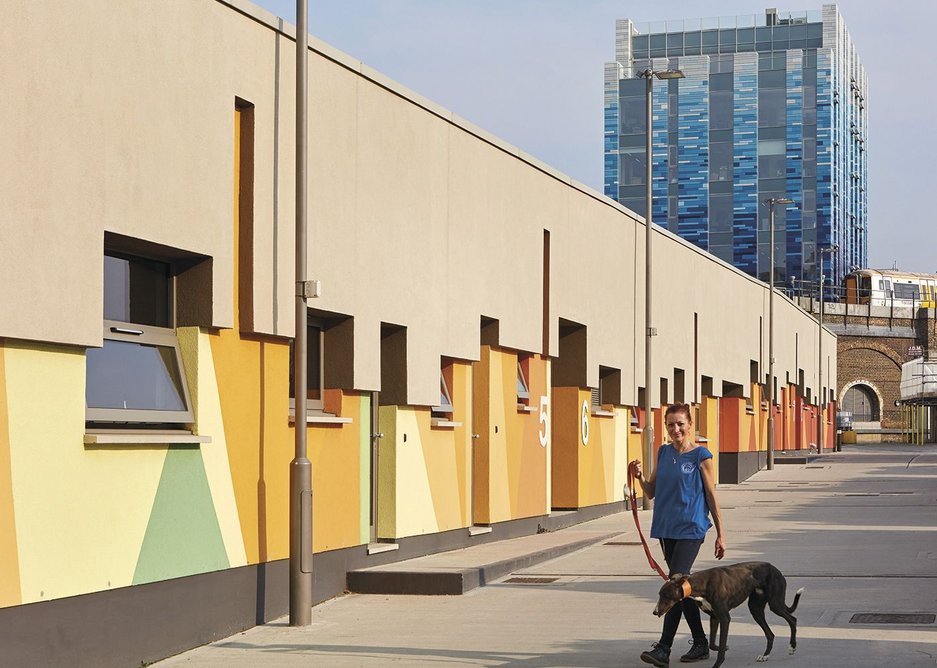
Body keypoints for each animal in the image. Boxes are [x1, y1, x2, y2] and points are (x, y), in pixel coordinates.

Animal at [656, 560, 800, 664]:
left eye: (665, 595)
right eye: (660, 594)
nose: (655, 612)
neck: (701, 584)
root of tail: (775, 569)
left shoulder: (725, 618)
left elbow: (720, 651)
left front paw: (718, 663)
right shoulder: (714, 617)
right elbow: (713, 644)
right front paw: (723, 647)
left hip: (775, 604)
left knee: (792, 620)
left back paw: (792, 647)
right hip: (755, 609)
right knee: (770, 634)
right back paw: (765, 656)